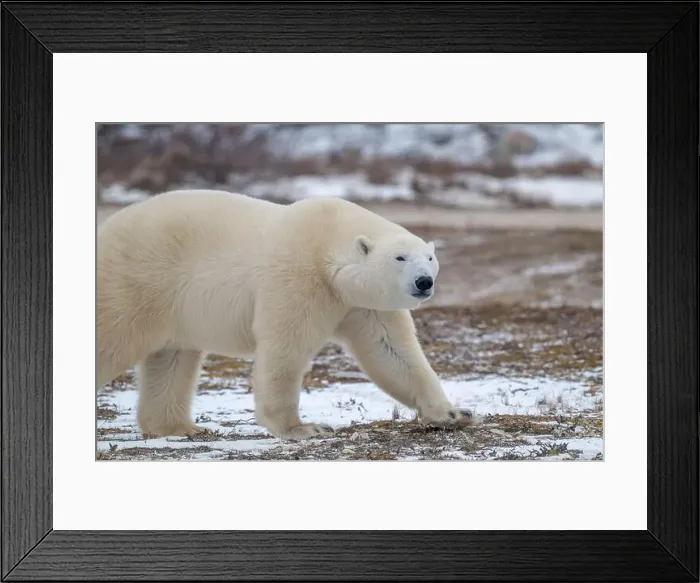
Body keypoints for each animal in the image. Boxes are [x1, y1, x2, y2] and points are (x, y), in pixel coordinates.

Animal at [97, 189, 476, 440]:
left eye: (429, 258)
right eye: (399, 257)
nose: (424, 282)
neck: (327, 243)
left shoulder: (361, 303)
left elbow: (392, 351)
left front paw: (453, 413)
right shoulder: (298, 276)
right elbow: (285, 347)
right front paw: (303, 427)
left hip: (174, 306)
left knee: (173, 358)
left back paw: (180, 428)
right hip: (136, 279)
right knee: (112, 337)